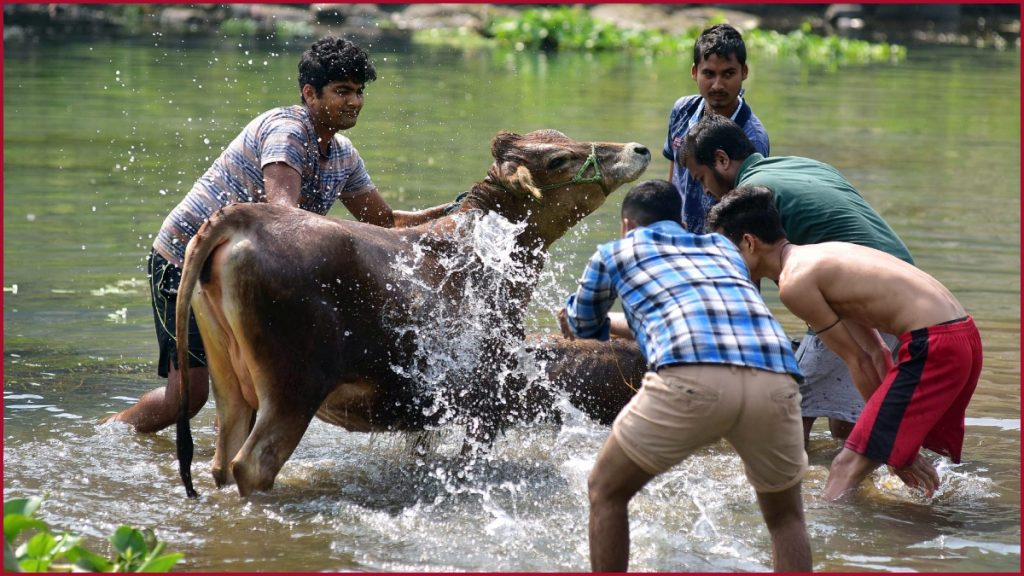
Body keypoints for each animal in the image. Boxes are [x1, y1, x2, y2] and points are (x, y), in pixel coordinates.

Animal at [175, 129, 647, 494]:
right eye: (558, 159)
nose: (638, 149)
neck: (492, 260)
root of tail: (243, 217)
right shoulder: (484, 404)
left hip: (230, 384)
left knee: (221, 461)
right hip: (293, 388)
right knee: (252, 465)